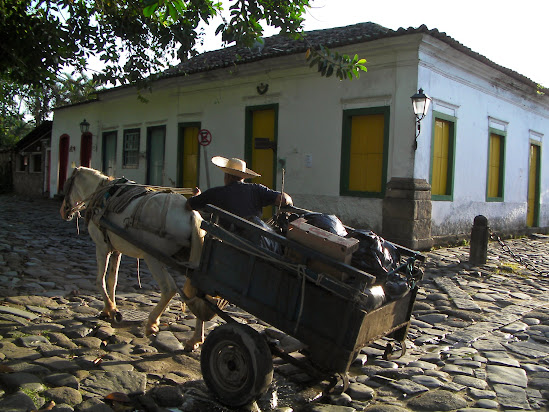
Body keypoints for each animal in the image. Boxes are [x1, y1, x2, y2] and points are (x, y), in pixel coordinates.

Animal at [61, 166, 218, 350]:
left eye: (66, 186)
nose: (63, 211)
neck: (101, 194)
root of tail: (192, 215)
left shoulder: (102, 247)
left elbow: (100, 280)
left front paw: (111, 309)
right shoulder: (116, 250)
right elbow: (112, 281)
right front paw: (109, 309)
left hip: (153, 258)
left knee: (169, 288)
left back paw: (151, 324)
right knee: (198, 296)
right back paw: (195, 339)